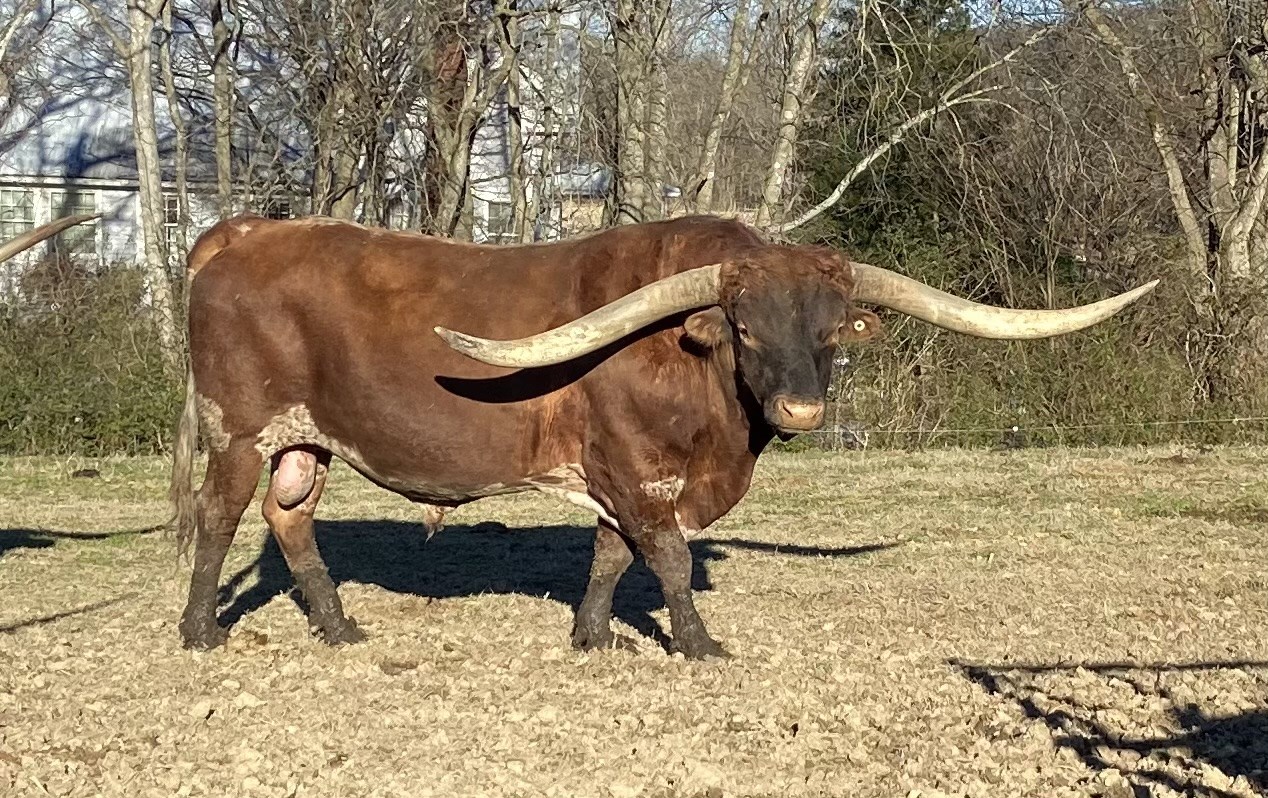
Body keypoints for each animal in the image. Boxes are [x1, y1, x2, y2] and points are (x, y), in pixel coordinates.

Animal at [169, 214, 1156, 658]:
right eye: (745, 328)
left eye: (833, 332)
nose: (802, 412)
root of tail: (241, 233)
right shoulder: (639, 474)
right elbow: (669, 559)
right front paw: (697, 642)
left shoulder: (620, 482)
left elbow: (610, 557)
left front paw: (594, 637)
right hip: (237, 432)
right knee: (220, 519)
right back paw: (201, 631)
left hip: (306, 441)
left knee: (290, 521)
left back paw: (340, 628)